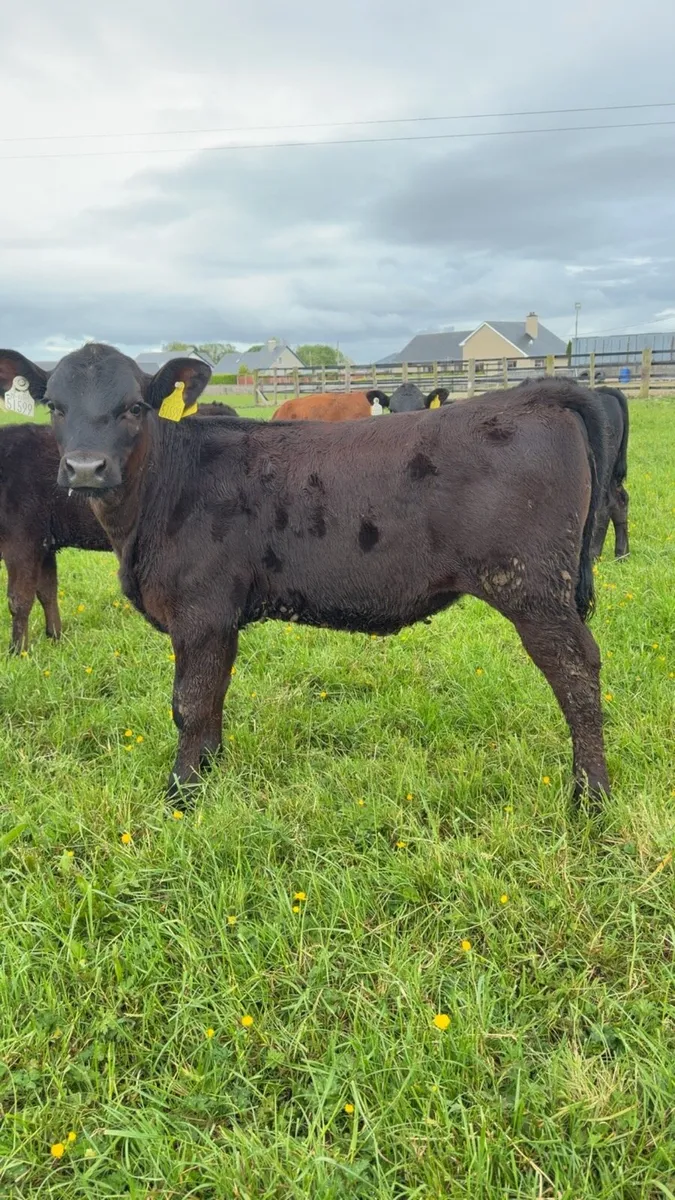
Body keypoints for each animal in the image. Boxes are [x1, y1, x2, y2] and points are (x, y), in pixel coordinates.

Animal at [0, 345, 611, 803]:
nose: (84, 468)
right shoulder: (221, 619)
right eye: (53, 405)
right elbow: (213, 697)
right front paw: (211, 772)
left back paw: (591, 797)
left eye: (133, 407)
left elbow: (188, 703)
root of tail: (534, 395)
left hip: (533, 590)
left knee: (577, 674)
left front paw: (181, 794)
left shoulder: (201, 611)